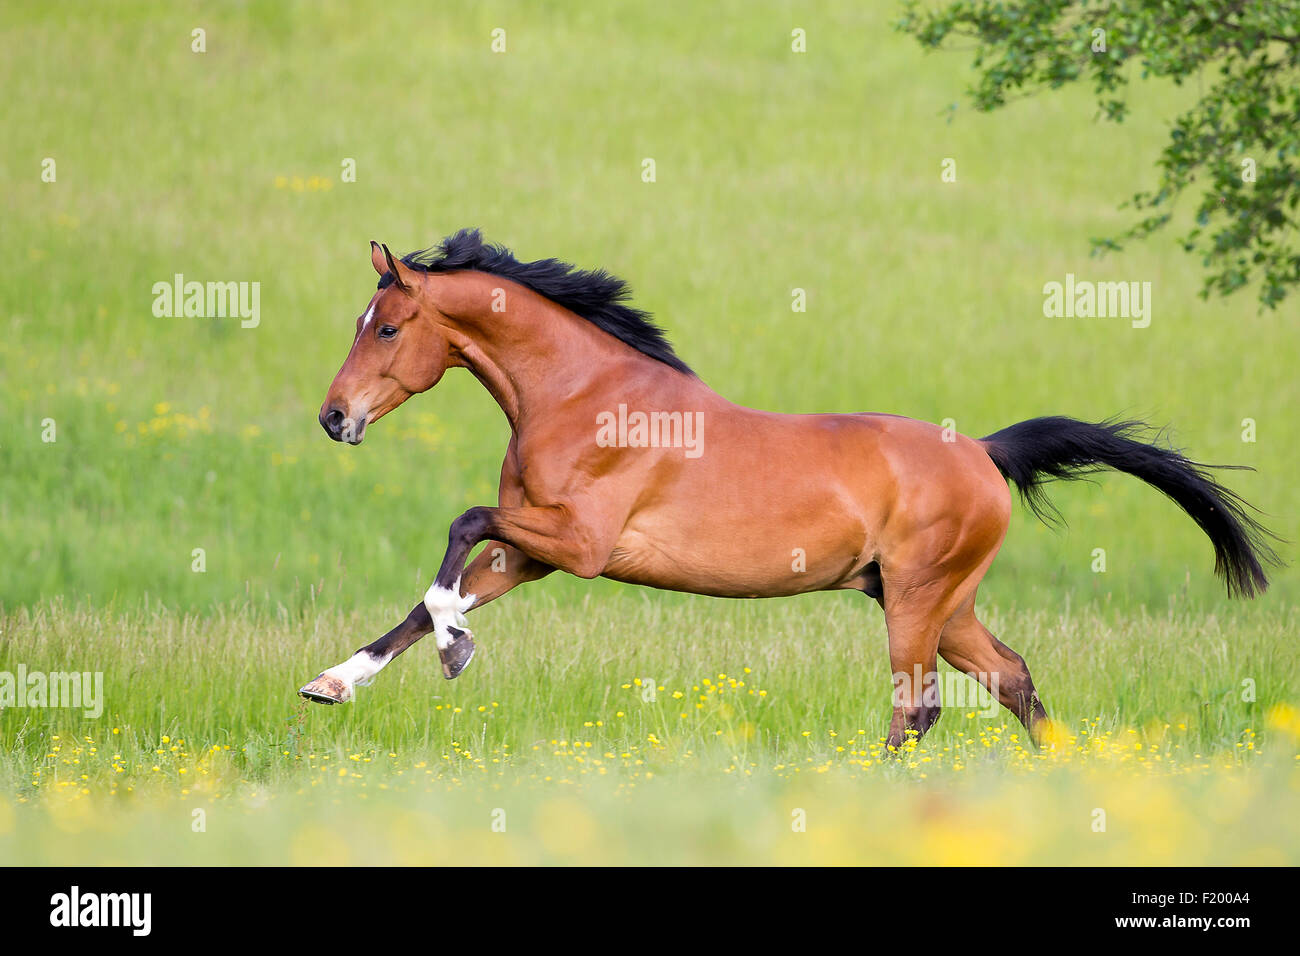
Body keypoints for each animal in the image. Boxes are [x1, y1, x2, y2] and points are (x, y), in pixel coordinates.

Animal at [299, 229, 1278, 749]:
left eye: (386, 328)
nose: (334, 418)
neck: (583, 395)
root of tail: (985, 453)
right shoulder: (532, 553)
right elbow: (430, 594)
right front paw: (333, 683)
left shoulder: (577, 544)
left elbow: (461, 527)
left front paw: (456, 651)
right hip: (941, 601)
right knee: (1013, 678)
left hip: (917, 598)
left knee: (919, 704)